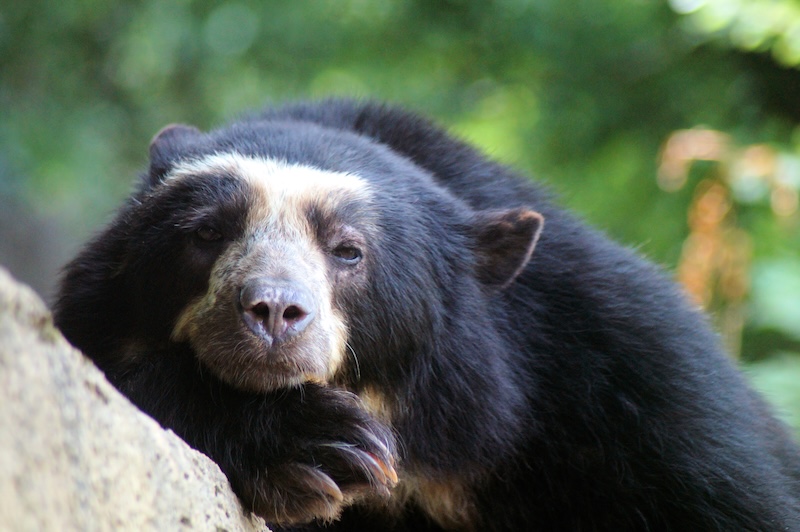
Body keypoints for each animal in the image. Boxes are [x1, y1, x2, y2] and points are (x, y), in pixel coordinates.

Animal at [54, 99, 800, 531]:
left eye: (349, 251)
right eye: (208, 232)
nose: (271, 310)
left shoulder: (631, 384)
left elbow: (732, 501)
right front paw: (316, 443)